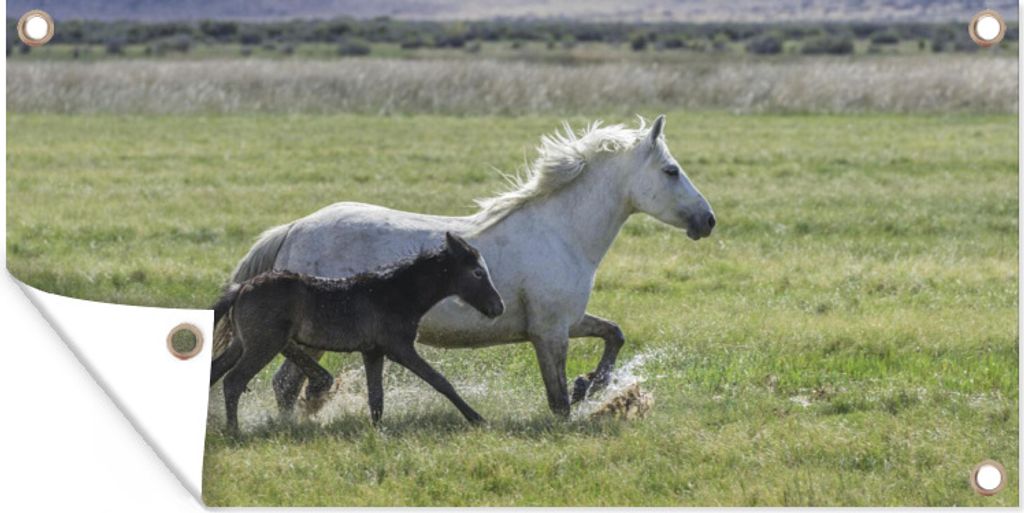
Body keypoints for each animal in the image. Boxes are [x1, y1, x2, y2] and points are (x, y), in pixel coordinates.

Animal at [210, 233, 504, 432]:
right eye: (478, 272)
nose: (498, 307)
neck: (397, 293)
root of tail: (242, 288)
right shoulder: (399, 348)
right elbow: (439, 381)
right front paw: (477, 418)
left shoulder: (373, 351)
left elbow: (376, 397)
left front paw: (376, 430)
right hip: (264, 344)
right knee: (233, 381)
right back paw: (234, 430)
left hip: (242, 343)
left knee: (215, 372)